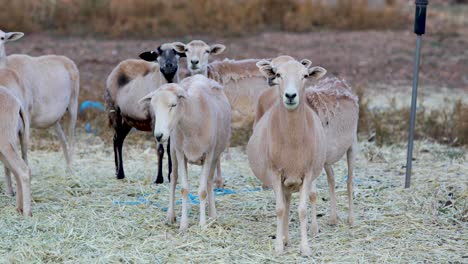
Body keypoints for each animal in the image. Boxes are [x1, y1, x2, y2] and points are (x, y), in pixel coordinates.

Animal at [105, 43, 186, 184]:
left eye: (176, 52)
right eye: (158, 54)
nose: (168, 66)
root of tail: (118, 66)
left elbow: (170, 149)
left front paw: (171, 176)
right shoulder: (155, 121)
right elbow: (160, 149)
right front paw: (159, 179)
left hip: (128, 119)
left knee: (118, 139)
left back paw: (118, 172)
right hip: (115, 112)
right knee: (116, 140)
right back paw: (120, 173)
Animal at [139, 75, 232, 231]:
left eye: (173, 105)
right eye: (154, 107)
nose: (158, 135)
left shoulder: (209, 154)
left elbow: (202, 191)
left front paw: (203, 224)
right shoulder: (181, 153)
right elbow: (183, 188)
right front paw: (183, 224)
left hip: (216, 154)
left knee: (209, 181)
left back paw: (212, 214)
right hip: (173, 149)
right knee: (173, 178)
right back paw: (170, 215)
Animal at [252, 55, 358, 225]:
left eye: (304, 75)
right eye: (275, 70)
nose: (270, 79)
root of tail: (340, 81)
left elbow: (312, 194)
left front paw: (313, 227)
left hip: (352, 143)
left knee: (349, 182)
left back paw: (351, 219)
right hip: (326, 158)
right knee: (332, 179)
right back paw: (333, 218)